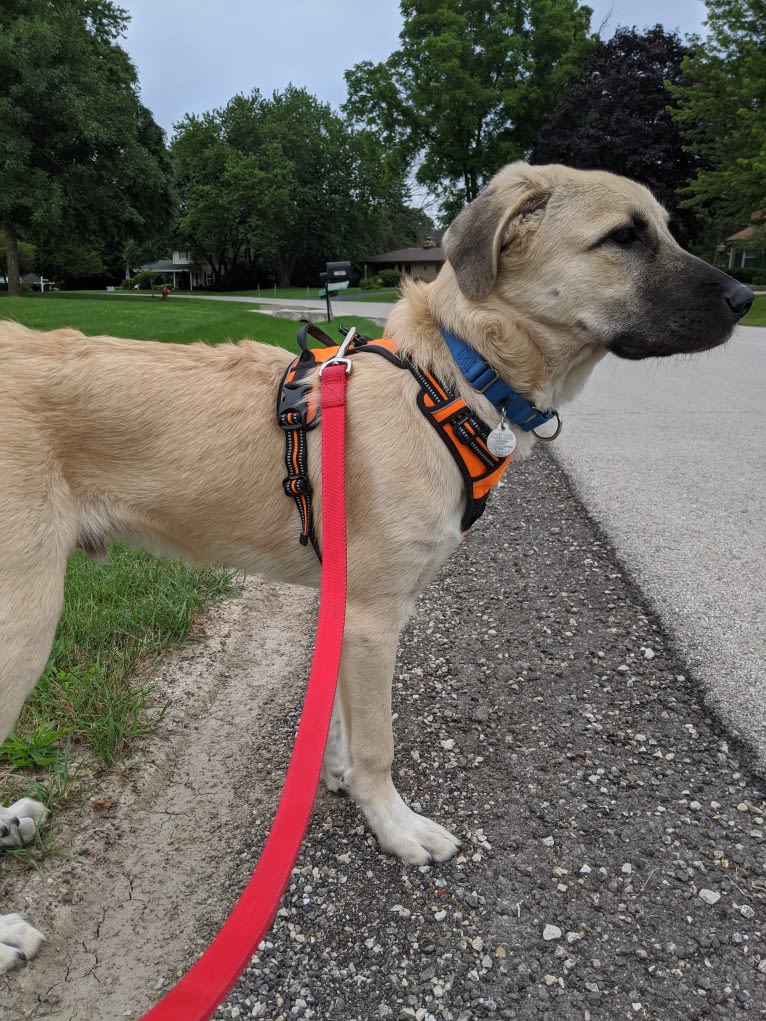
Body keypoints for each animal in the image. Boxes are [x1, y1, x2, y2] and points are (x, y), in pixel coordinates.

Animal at [0, 163, 755, 967]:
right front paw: (393, 826)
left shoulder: (348, 604)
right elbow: (379, 743)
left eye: (667, 229)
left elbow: (338, 715)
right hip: (23, 622)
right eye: (623, 238)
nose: (747, 299)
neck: (449, 384)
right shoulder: (374, 614)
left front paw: (334, 774)